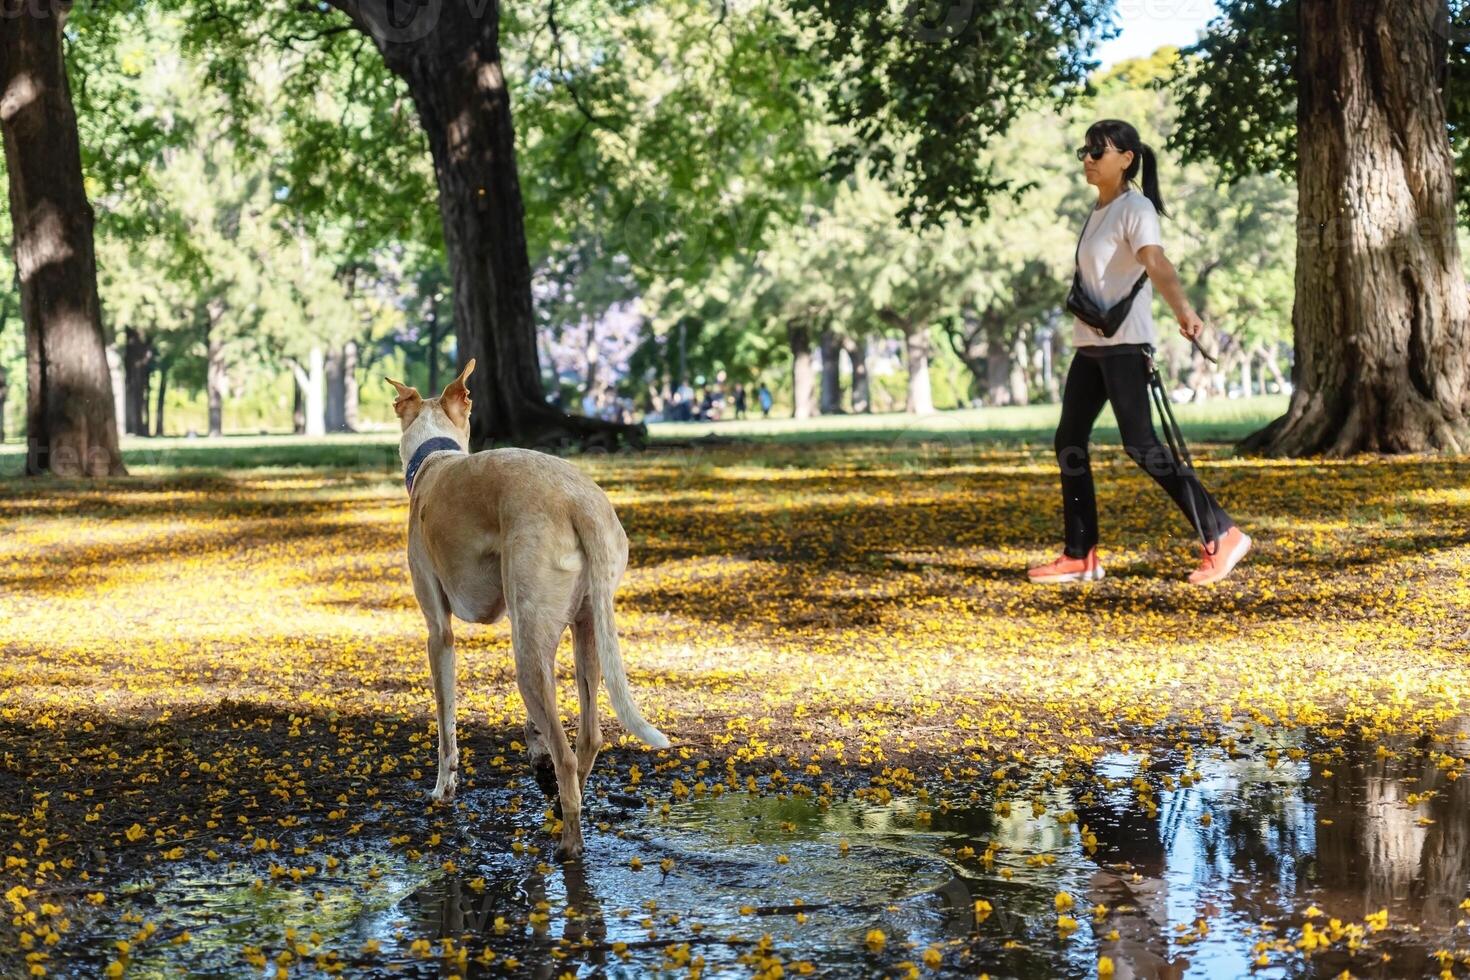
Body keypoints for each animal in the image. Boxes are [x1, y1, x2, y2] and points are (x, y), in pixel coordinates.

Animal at [388, 358, 670, 858]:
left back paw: (569, 841)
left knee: (566, 751)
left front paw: (443, 788)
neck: (435, 460)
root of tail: (579, 501)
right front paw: (535, 755)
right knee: (588, 737)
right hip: (582, 629)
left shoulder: (439, 633)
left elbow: (445, 725)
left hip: (528, 650)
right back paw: (559, 799)